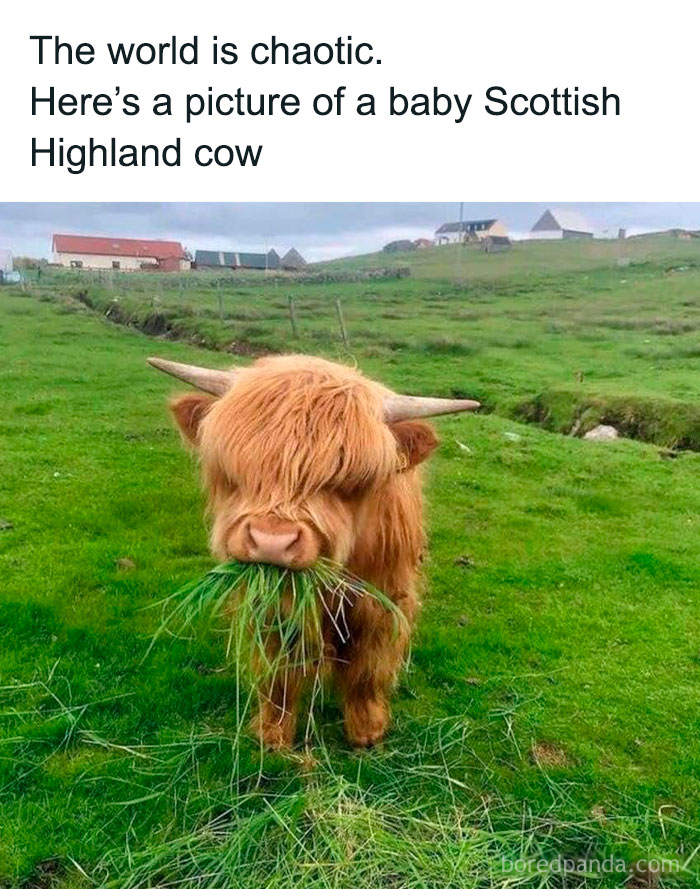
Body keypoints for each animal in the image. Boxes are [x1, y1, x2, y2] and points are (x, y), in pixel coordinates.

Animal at [148, 354, 479, 748]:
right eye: (237, 470)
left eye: (350, 480)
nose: (272, 541)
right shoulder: (271, 605)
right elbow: (278, 670)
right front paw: (273, 733)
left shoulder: (382, 598)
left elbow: (368, 666)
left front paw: (367, 730)